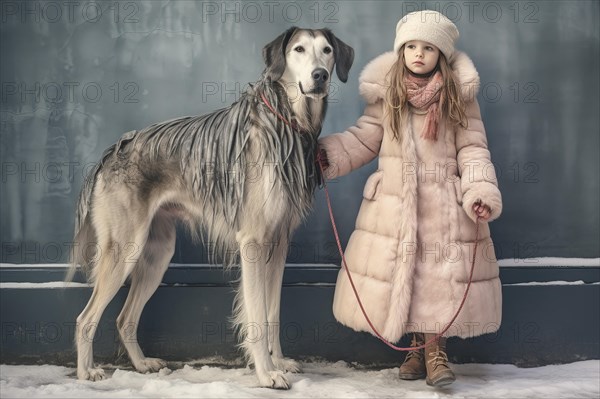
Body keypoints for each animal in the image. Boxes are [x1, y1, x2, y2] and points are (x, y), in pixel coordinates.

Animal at [68, 26, 354, 390]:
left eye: (327, 50)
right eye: (299, 49)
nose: (319, 76)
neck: (284, 123)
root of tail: (111, 152)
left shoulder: (278, 246)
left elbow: (273, 313)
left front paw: (279, 362)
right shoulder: (253, 243)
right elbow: (257, 317)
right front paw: (266, 373)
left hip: (157, 253)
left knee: (124, 318)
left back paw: (142, 363)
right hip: (125, 248)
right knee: (85, 318)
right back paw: (86, 372)